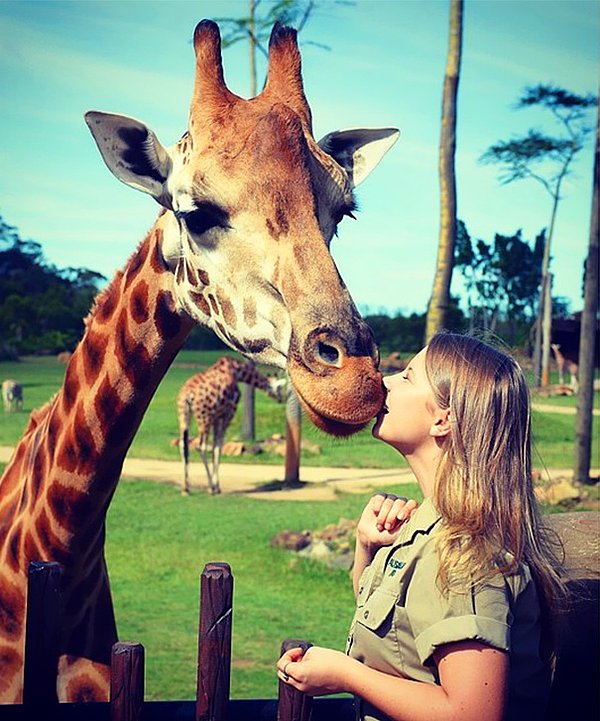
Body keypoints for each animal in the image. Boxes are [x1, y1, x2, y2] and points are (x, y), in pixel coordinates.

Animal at [177, 356, 284, 496]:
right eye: (279, 388)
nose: (282, 399)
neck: (238, 373)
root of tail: (187, 395)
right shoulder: (228, 413)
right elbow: (218, 447)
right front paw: (216, 487)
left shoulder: (217, 417)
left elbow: (215, 447)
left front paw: (216, 485)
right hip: (204, 418)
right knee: (200, 446)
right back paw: (210, 487)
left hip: (183, 416)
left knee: (183, 444)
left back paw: (186, 488)